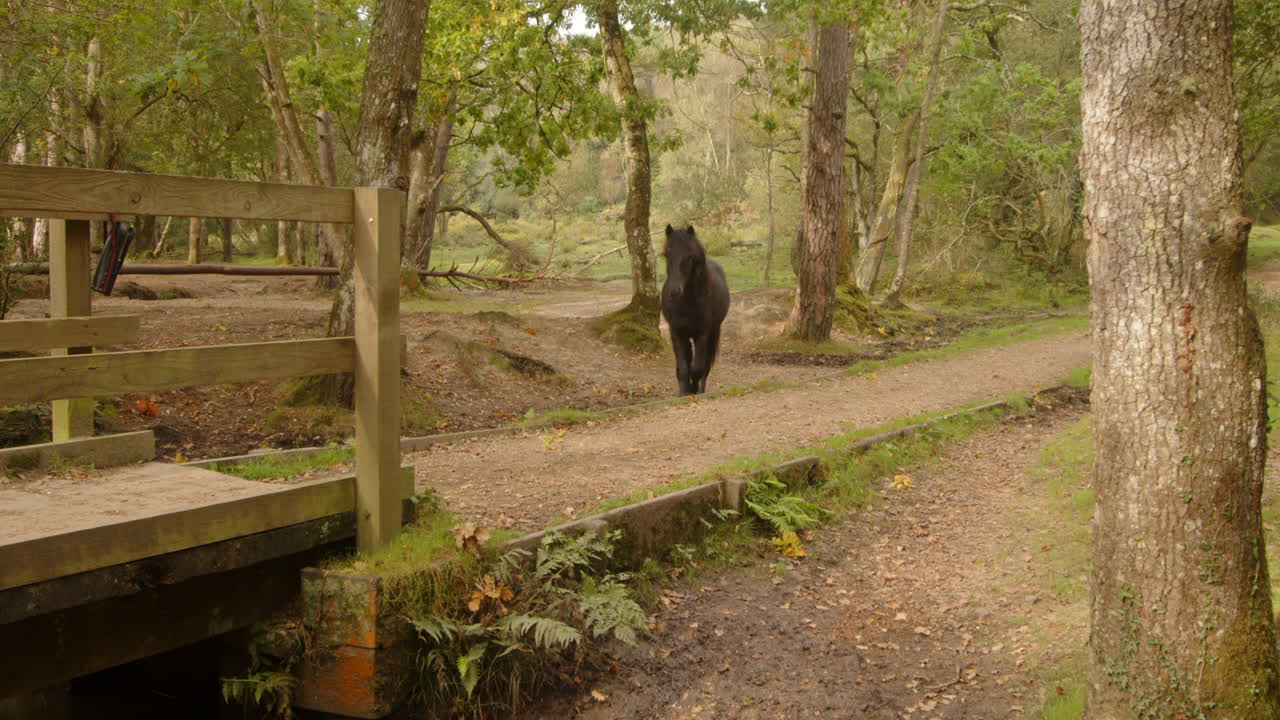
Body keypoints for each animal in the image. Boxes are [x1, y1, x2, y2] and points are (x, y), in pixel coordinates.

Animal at [660, 224, 730, 396]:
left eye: (690, 257)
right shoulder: (677, 333)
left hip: (713, 333)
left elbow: (698, 369)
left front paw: (695, 391)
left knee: (705, 367)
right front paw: (683, 394)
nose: (674, 291)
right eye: (666, 254)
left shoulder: (702, 334)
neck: (687, 302)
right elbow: (683, 369)